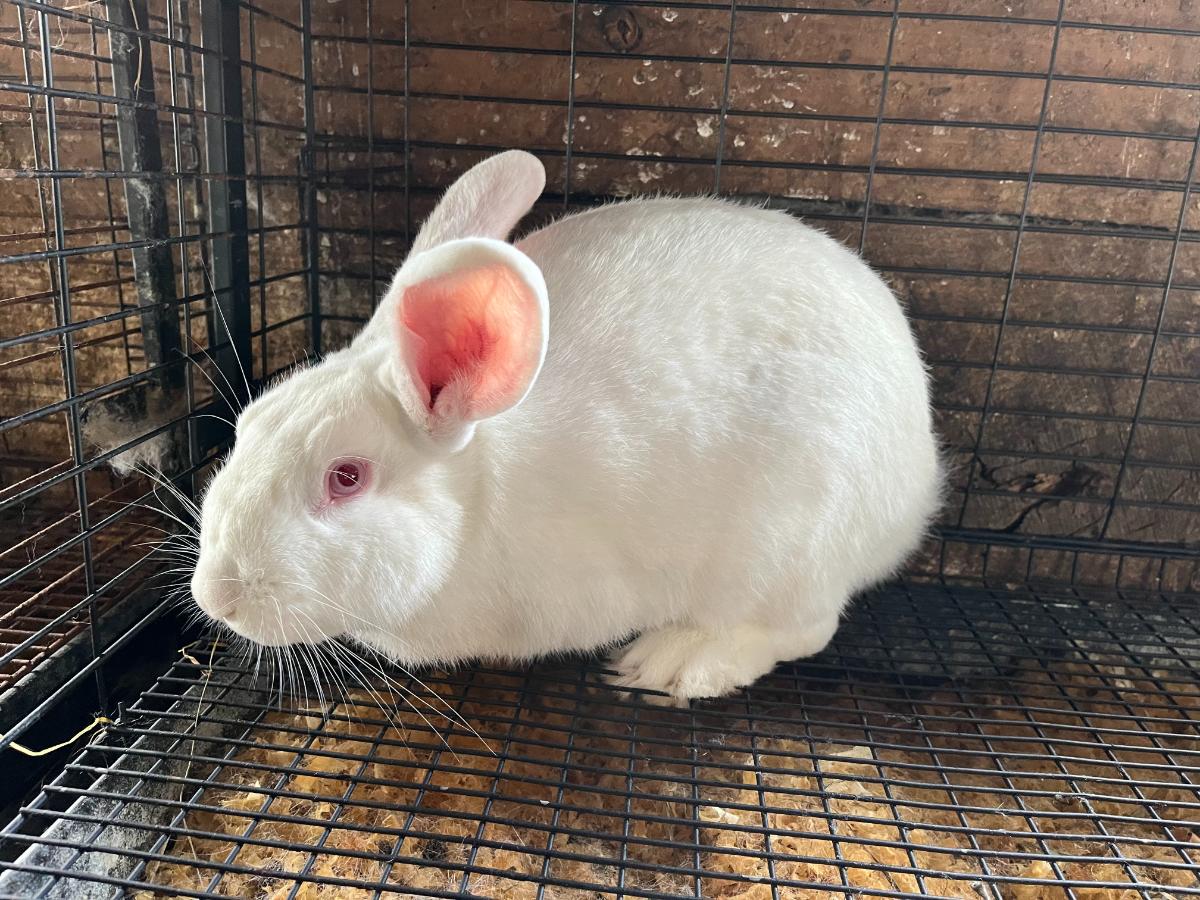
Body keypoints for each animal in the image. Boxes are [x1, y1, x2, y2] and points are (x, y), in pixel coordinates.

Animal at [190, 149, 943, 703]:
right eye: (247, 425)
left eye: (346, 477)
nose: (216, 596)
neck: (477, 498)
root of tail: (920, 483)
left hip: (788, 548)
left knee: (805, 629)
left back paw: (674, 662)